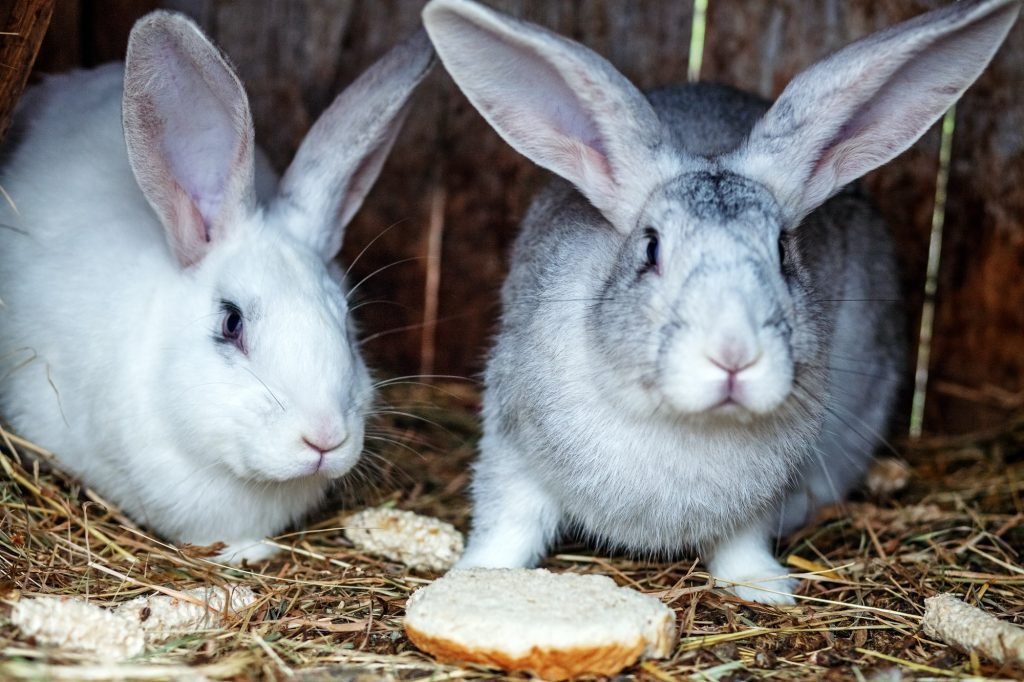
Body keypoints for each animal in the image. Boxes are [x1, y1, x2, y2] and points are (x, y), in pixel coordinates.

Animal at [421, 0, 1015, 602]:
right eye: (652, 248)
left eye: (782, 251)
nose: (733, 355)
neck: (684, 420)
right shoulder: (512, 452)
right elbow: (509, 523)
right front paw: (476, 576)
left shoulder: (759, 503)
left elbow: (741, 543)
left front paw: (765, 588)